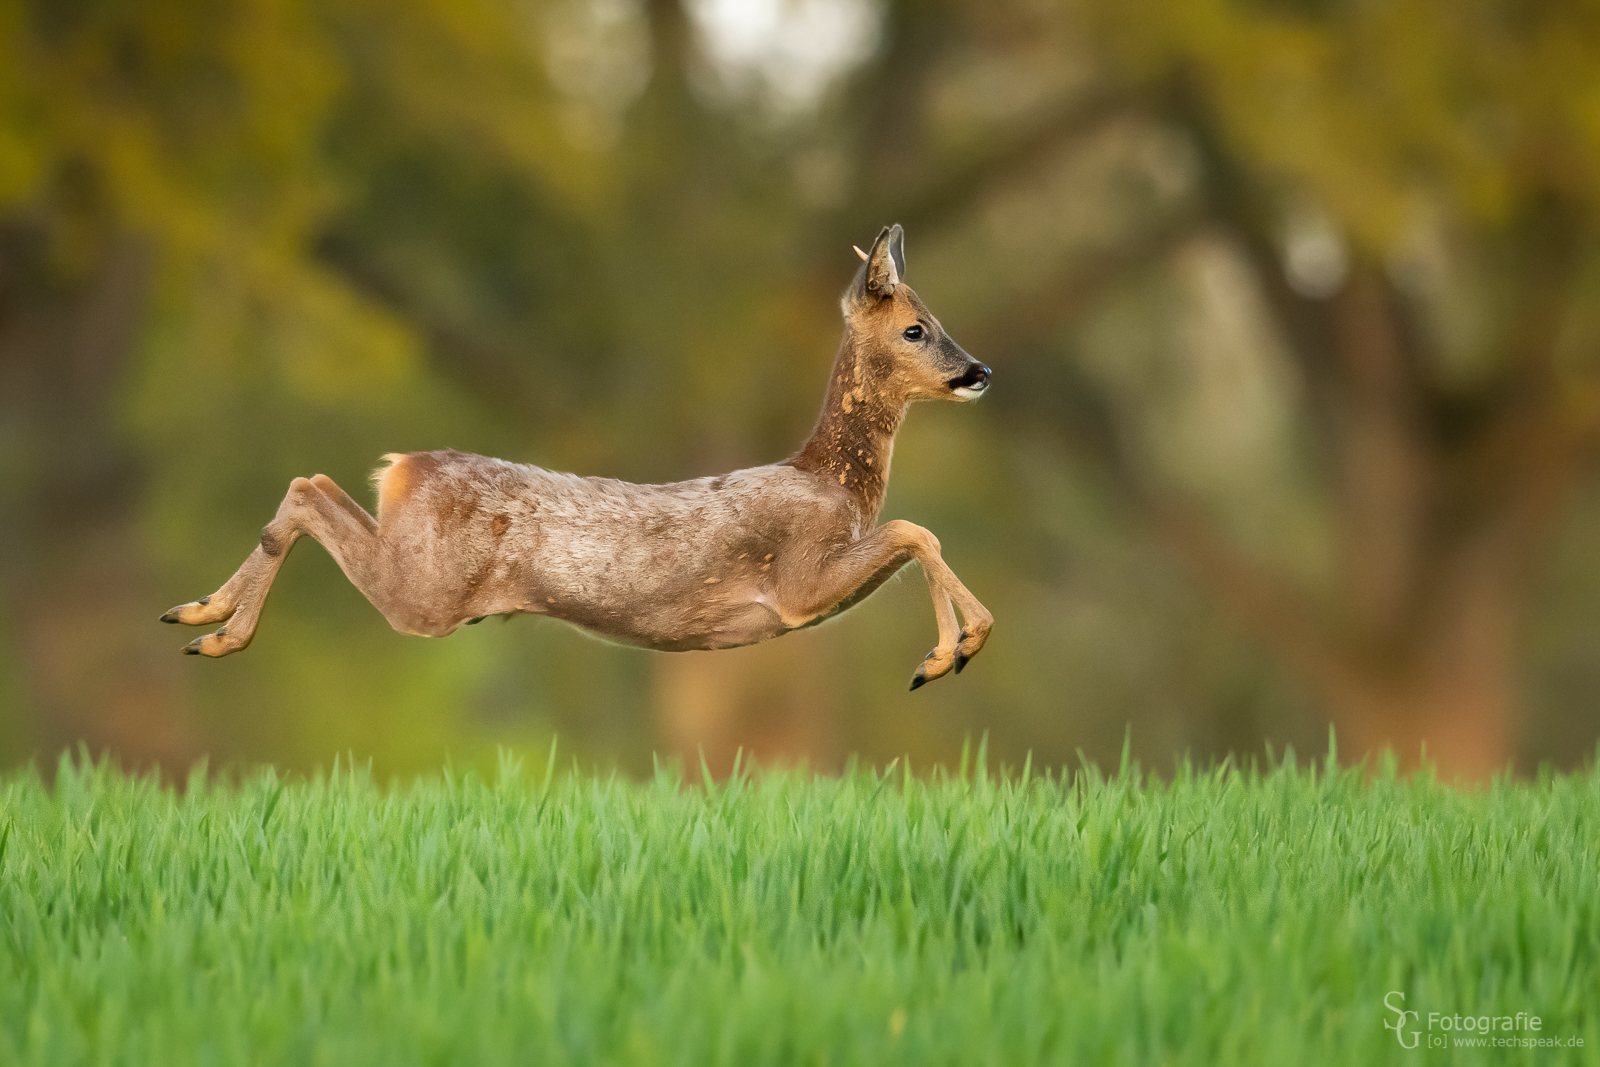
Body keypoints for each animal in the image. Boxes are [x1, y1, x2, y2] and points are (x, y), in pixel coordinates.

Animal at [159, 227, 985, 694]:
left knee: (316, 480)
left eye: (938, 321)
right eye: (916, 329)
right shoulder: (800, 581)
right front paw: (948, 653)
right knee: (307, 491)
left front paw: (948, 650)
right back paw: (209, 627)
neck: (829, 478)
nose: (977, 371)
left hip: (417, 569)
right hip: (424, 593)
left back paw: (200, 617)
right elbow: (917, 530)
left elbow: (915, 533)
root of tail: (402, 465)